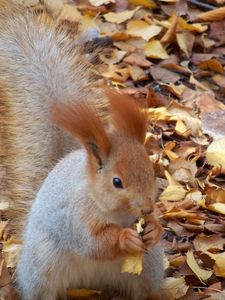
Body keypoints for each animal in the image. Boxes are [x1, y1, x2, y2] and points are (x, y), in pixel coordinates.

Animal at [16, 91, 164, 300]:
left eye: (151, 171)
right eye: (117, 182)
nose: (147, 208)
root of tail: (90, 282)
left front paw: (154, 228)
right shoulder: (76, 215)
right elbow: (92, 242)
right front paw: (125, 238)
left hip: (150, 267)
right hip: (41, 267)